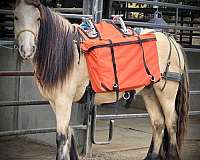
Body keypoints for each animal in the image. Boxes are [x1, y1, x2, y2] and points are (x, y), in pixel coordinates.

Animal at [13, 0, 189, 159]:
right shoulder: (55, 102)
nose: (27, 50)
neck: (68, 54)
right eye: (15, 17)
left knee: (171, 123)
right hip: (149, 92)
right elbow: (69, 133)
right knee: (158, 123)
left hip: (166, 93)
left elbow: (61, 138)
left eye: (38, 19)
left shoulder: (64, 101)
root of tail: (170, 40)